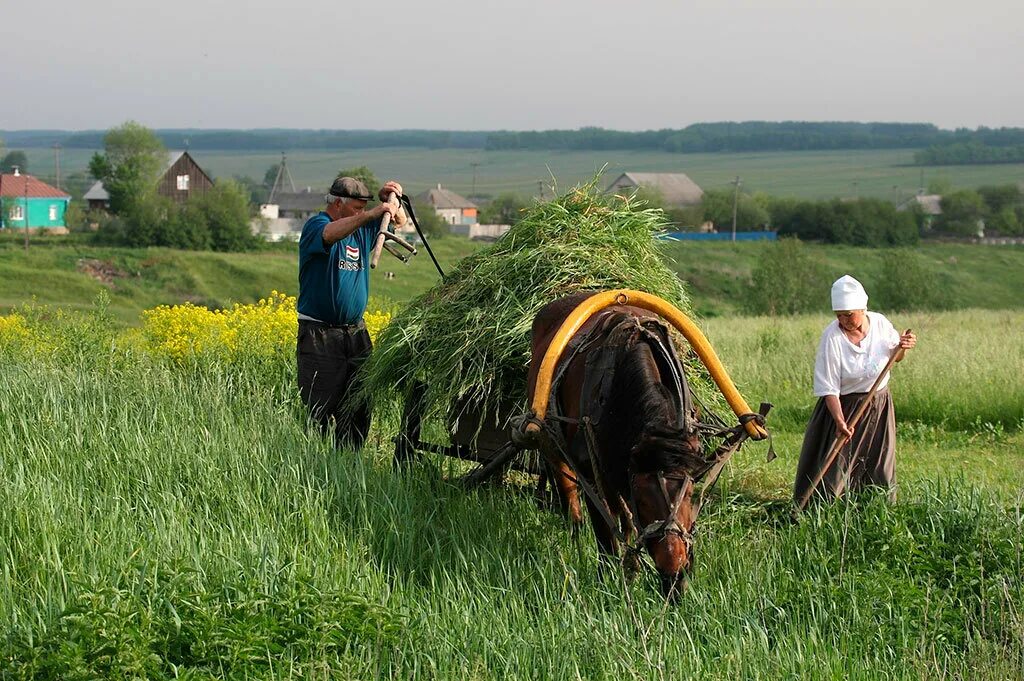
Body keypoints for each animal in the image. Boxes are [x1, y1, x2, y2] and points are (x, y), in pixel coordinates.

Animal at [528, 292, 704, 593]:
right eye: (643, 500)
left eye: (690, 493)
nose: (673, 576)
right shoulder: (591, 471)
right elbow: (605, 532)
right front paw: (606, 581)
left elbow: (626, 521)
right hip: (549, 441)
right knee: (568, 494)